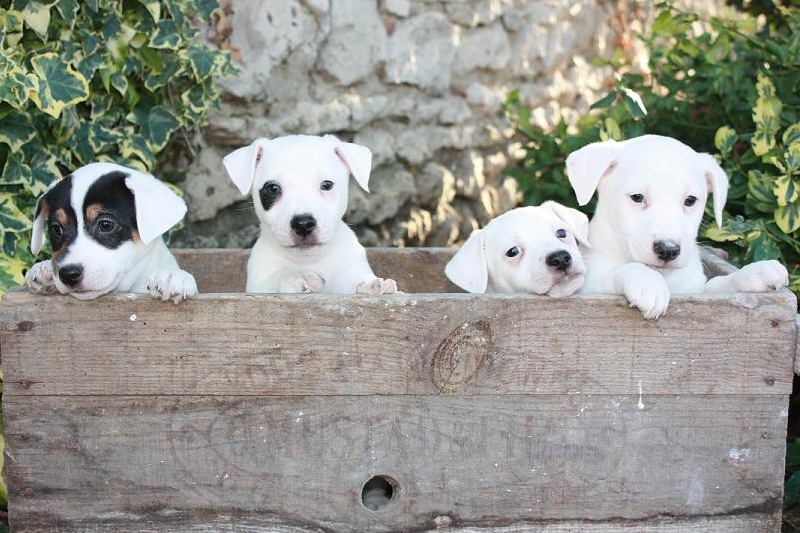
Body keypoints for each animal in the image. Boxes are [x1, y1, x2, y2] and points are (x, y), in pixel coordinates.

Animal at [223, 131, 398, 294]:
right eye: (273, 189)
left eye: (327, 185)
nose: (303, 224)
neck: (310, 259)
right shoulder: (258, 283)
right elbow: (277, 278)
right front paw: (297, 277)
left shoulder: (351, 268)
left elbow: (353, 281)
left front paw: (370, 285)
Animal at [568, 133, 788, 318]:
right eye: (637, 197)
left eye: (690, 200)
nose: (668, 250)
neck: (666, 276)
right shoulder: (588, 287)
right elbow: (619, 273)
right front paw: (648, 282)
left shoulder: (697, 291)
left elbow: (718, 284)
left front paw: (755, 272)